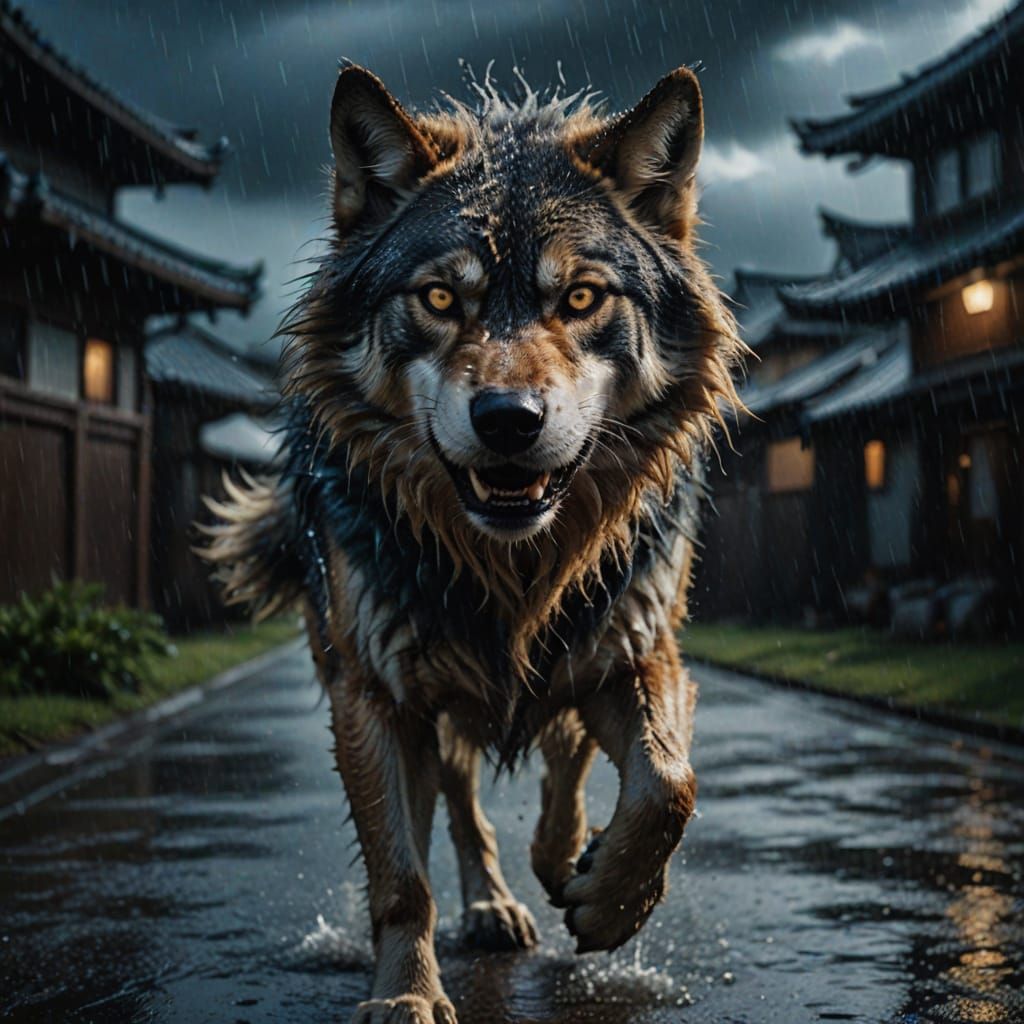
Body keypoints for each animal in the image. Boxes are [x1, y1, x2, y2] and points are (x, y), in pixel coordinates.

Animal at [200, 61, 743, 1024]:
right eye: (441, 298)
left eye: (581, 297)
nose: (509, 420)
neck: (513, 570)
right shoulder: (376, 692)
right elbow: (401, 877)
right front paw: (405, 995)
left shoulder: (635, 650)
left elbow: (667, 785)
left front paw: (611, 902)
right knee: (452, 808)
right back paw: (490, 905)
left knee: (564, 765)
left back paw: (562, 867)